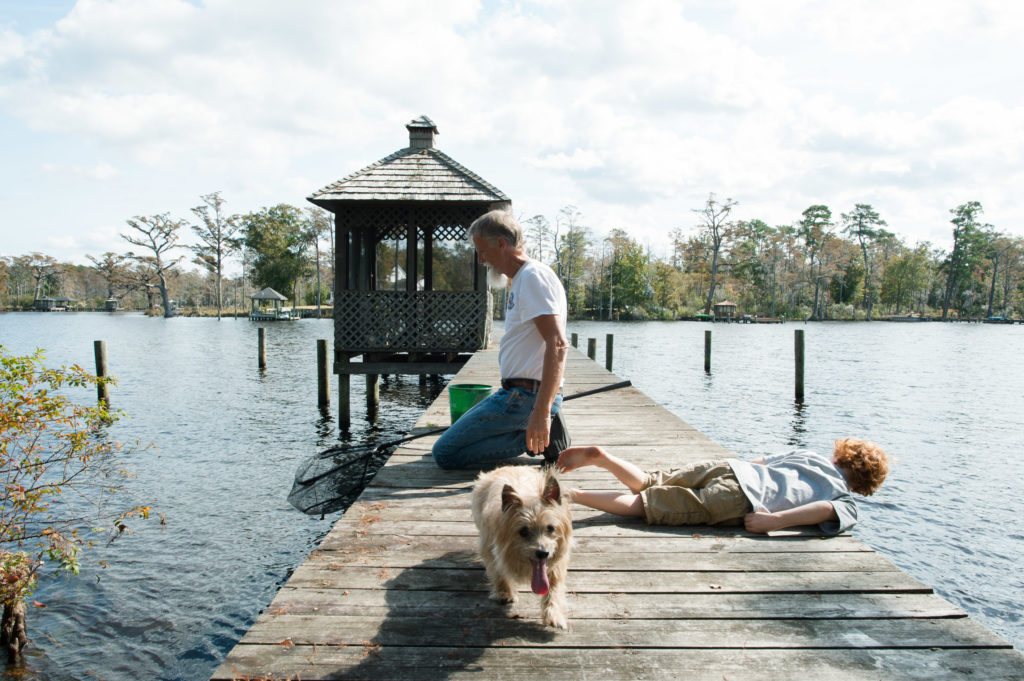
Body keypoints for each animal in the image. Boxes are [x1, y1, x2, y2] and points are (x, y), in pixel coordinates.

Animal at [473, 462, 577, 626]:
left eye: (551, 528)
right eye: (523, 531)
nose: (543, 553)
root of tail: (511, 466)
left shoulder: (556, 564)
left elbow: (553, 587)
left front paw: (554, 614)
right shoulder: (490, 546)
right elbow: (497, 569)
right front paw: (504, 592)